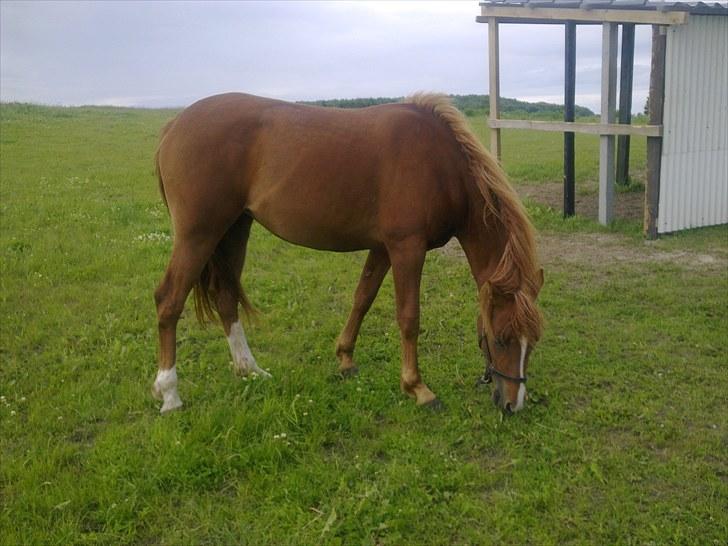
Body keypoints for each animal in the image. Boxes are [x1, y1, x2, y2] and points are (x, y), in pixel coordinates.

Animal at [151, 92, 544, 412]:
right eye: (501, 338)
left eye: (534, 341)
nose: (514, 404)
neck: (441, 164)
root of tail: (173, 125)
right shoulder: (407, 248)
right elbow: (409, 318)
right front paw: (417, 388)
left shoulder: (382, 248)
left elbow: (362, 299)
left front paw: (345, 359)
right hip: (198, 234)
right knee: (169, 300)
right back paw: (169, 393)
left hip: (234, 229)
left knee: (225, 297)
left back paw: (250, 369)